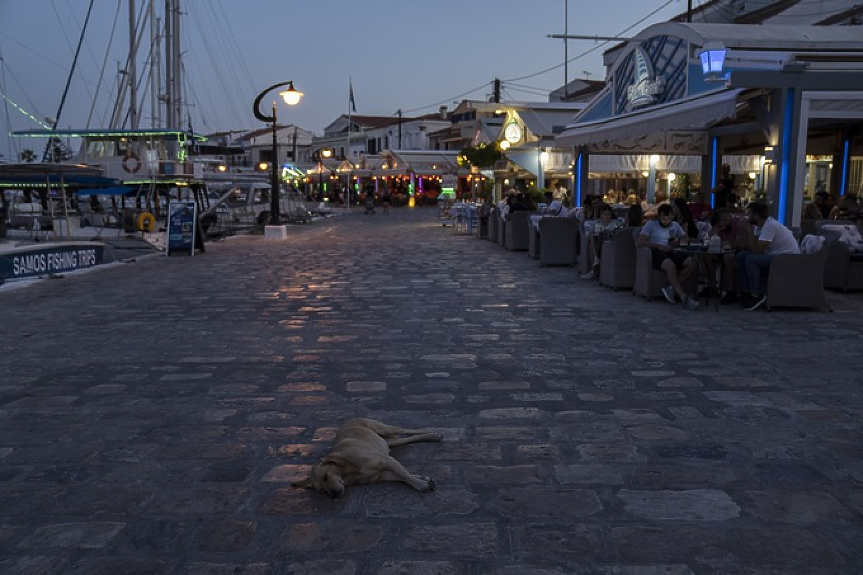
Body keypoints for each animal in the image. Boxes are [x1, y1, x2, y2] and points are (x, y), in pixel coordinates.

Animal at [294, 418, 442, 500]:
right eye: (322, 491)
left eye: (325, 476)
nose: (334, 494)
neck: (349, 470)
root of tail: (349, 420)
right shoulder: (382, 474)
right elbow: (403, 476)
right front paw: (424, 480)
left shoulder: (386, 460)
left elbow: (405, 474)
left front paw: (420, 484)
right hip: (390, 442)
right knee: (408, 439)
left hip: (385, 429)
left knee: (407, 430)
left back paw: (433, 433)